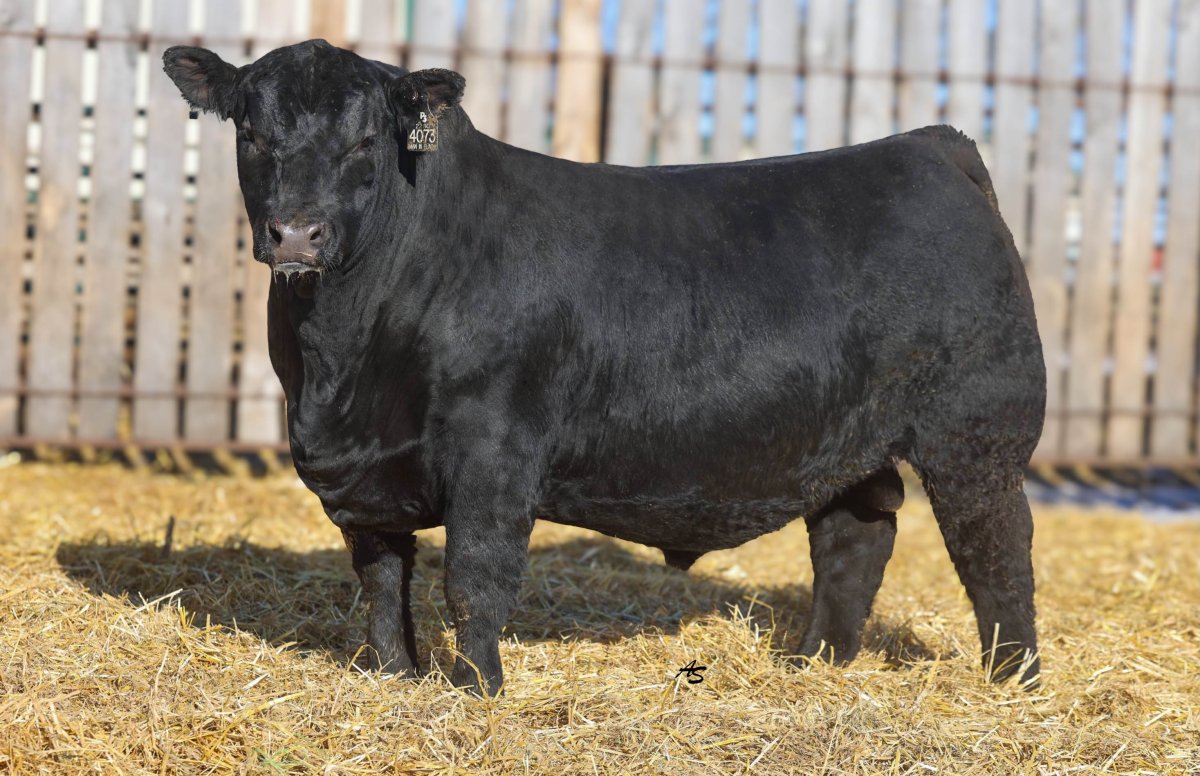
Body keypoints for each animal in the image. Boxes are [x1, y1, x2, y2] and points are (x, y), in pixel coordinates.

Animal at [163, 39, 1045, 697]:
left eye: (365, 141)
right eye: (251, 135)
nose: (297, 233)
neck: (340, 368)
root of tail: (928, 145)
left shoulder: (493, 449)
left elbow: (475, 576)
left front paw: (477, 690)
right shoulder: (367, 473)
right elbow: (381, 582)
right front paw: (394, 679)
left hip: (977, 433)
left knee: (995, 550)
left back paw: (1013, 681)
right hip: (846, 439)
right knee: (853, 540)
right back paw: (813, 664)